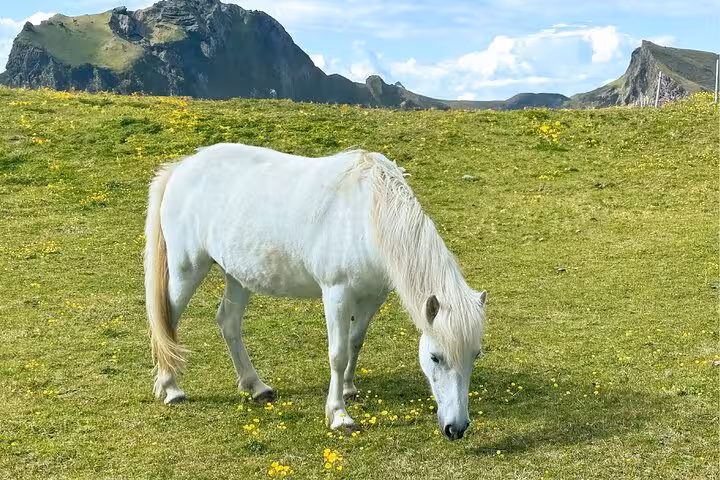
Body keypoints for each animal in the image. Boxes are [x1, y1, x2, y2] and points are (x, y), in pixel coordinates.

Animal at [144, 143, 487, 440]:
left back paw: (256, 386)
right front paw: (339, 414)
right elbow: (337, 353)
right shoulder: (336, 294)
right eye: (435, 357)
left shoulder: (372, 297)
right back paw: (171, 387)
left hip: (238, 276)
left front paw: (348, 388)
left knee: (228, 322)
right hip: (187, 269)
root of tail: (182, 166)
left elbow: (355, 342)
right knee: (167, 321)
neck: (366, 214)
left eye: (476, 354)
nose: (456, 428)